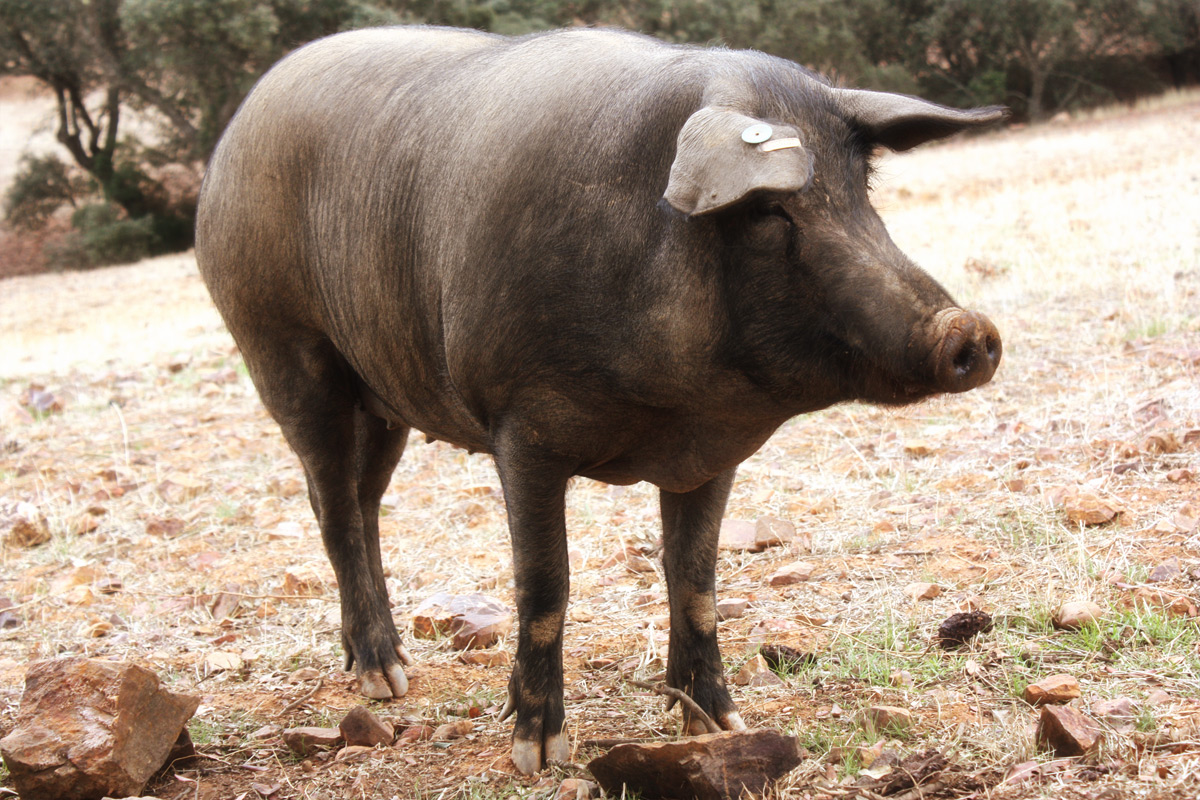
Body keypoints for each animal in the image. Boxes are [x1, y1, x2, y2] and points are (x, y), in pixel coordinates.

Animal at [196, 26, 1003, 777]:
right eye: (770, 214)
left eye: (863, 191)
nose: (969, 330)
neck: (680, 412)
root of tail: (235, 131)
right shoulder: (520, 427)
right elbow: (545, 586)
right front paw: (537, 754)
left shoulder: (710, 457)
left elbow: (696, 580)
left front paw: (720, 724)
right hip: (281, 347)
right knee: (332, 507)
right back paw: (382, 681)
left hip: (384, 391)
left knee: (360, 505)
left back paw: (386, 667)